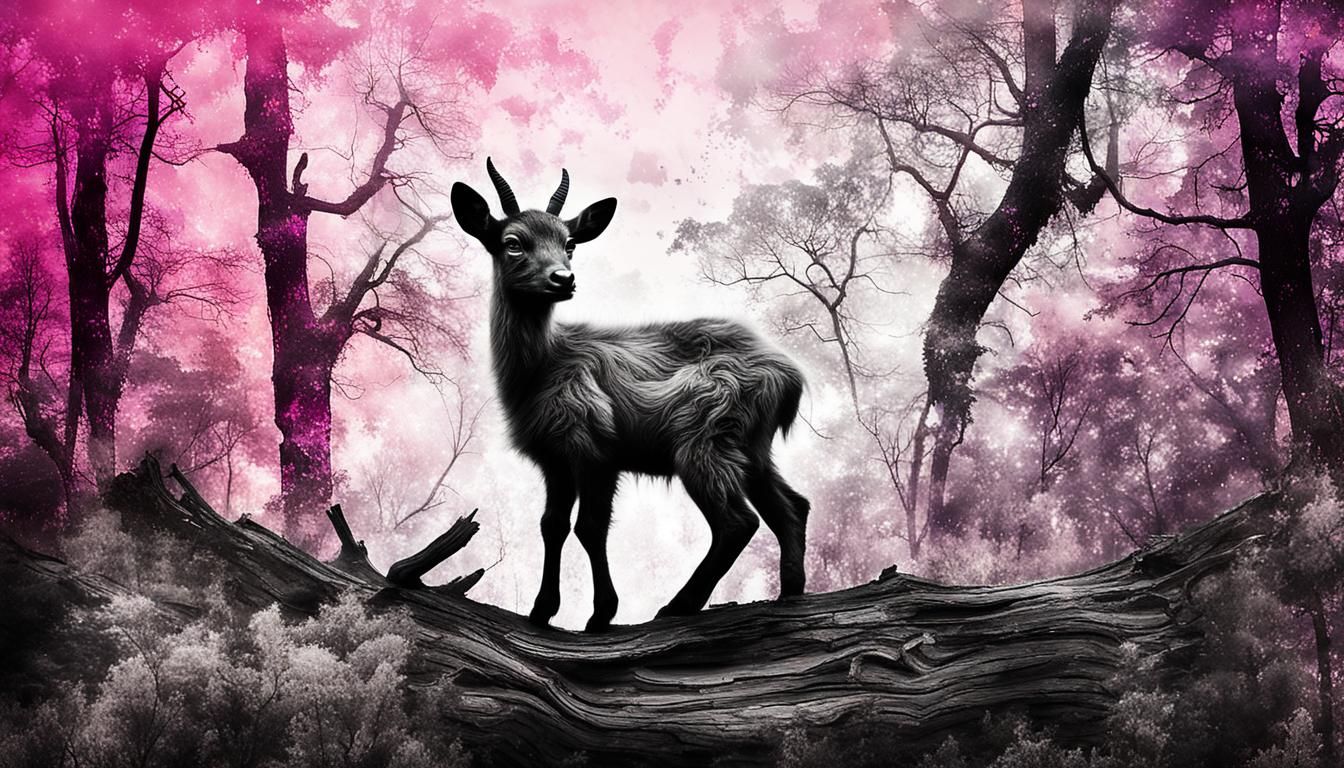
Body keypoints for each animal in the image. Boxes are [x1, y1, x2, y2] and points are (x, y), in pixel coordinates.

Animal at [451, 159, 810, 631]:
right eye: (512, 242)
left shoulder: (593, 445)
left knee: (738, 522)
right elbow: (552, 525)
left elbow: (590, 527)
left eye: (569, 244)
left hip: (705, 435)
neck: (542, 368)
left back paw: (676, 606)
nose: (563, 279)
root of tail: (792, 377)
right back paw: (791, 595)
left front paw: (601, 614)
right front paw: (542, 610)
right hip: (752, 446)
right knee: (793, 506)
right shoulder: (554, 456)